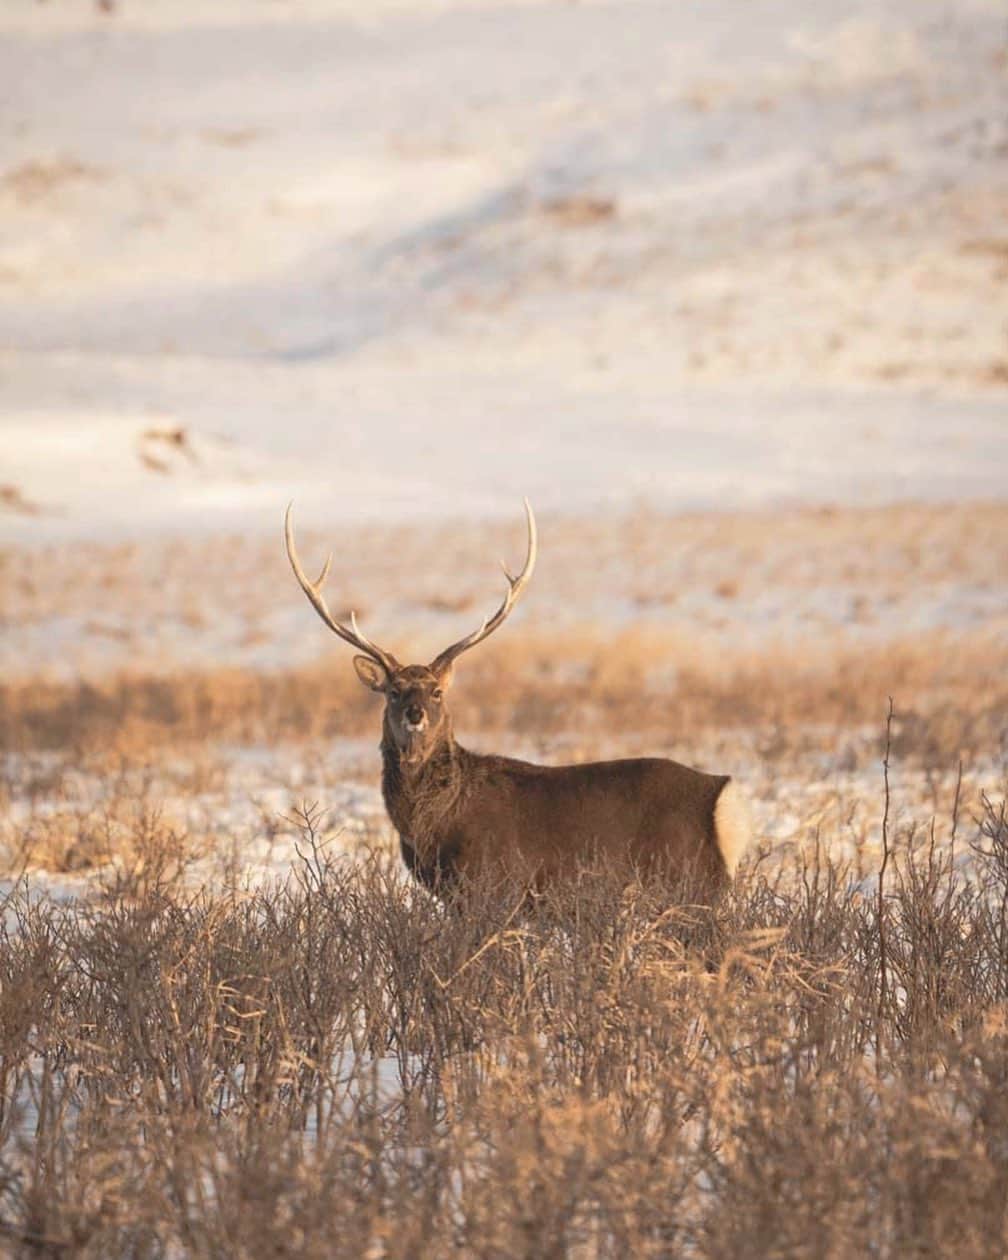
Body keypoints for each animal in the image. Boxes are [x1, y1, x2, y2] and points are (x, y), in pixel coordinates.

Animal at [284, 500, 751, 899]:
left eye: (437, 691)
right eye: (394, 691)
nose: (415, 715)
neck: (431, 826)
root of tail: (724, 795)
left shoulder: (494, 882)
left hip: (688, 877)